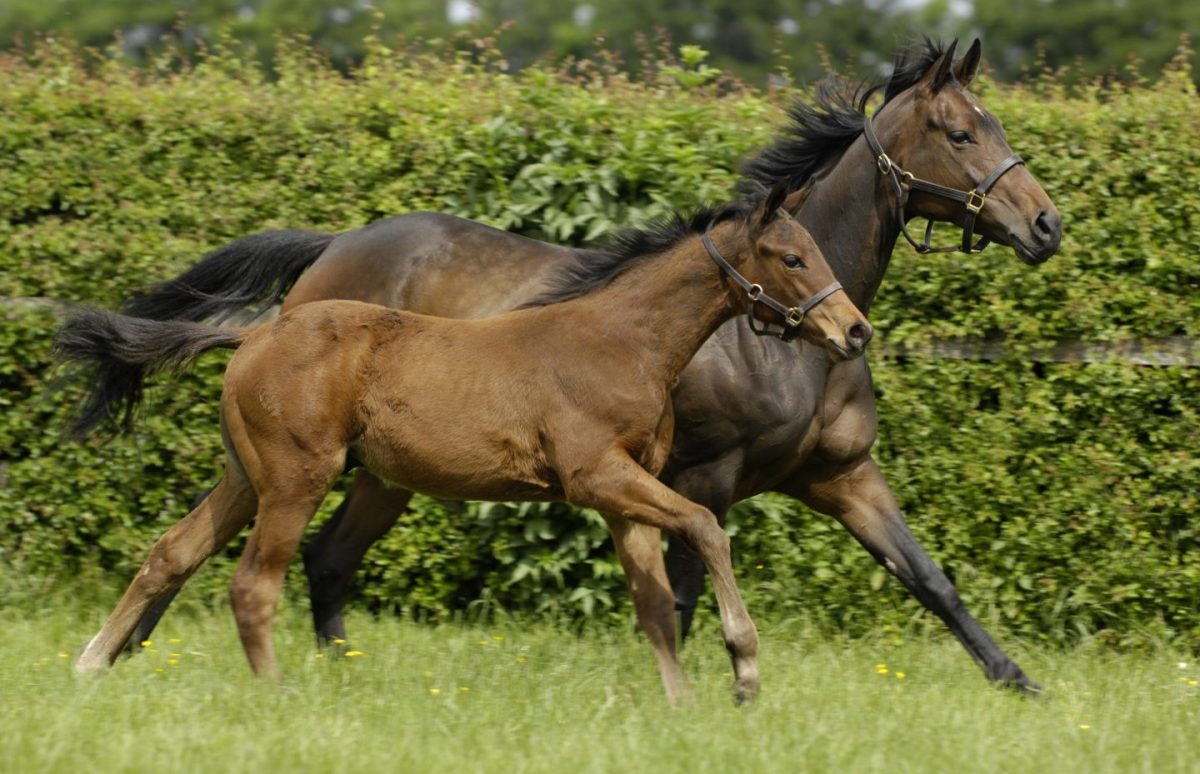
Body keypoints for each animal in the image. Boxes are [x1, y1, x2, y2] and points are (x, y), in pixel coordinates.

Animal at [58, 187, 872, 703]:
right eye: (792, 258)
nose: (855, 331)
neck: (623, 342)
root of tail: (256, 333)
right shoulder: (597, 477)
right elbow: (705, 529)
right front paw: (745, 669)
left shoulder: (625, 494)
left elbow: (652, 602)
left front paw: (683, 705)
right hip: (296, 479)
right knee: (252, 584)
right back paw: (277, 694)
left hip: (244, 477)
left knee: (172, 553)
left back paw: (92, 664)